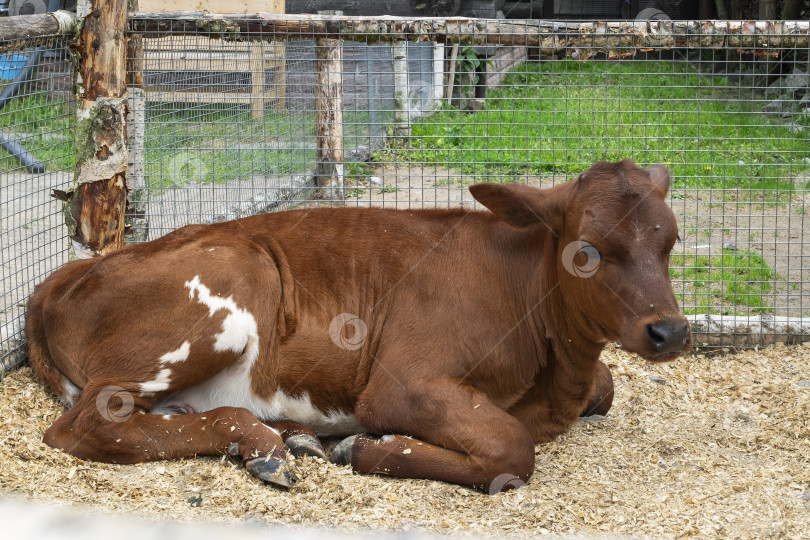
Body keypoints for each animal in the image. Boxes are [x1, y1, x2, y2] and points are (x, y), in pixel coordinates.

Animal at [28, 159, 692, 490]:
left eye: (672, 241)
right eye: (587, 251)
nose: (672, 332)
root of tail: (68, 273)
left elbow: (606, 388)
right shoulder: (399, 384)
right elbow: (511, 448)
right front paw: (365, 446)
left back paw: (281, 439)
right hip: (233, 285)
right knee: (89, 425)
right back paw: (273, 445)